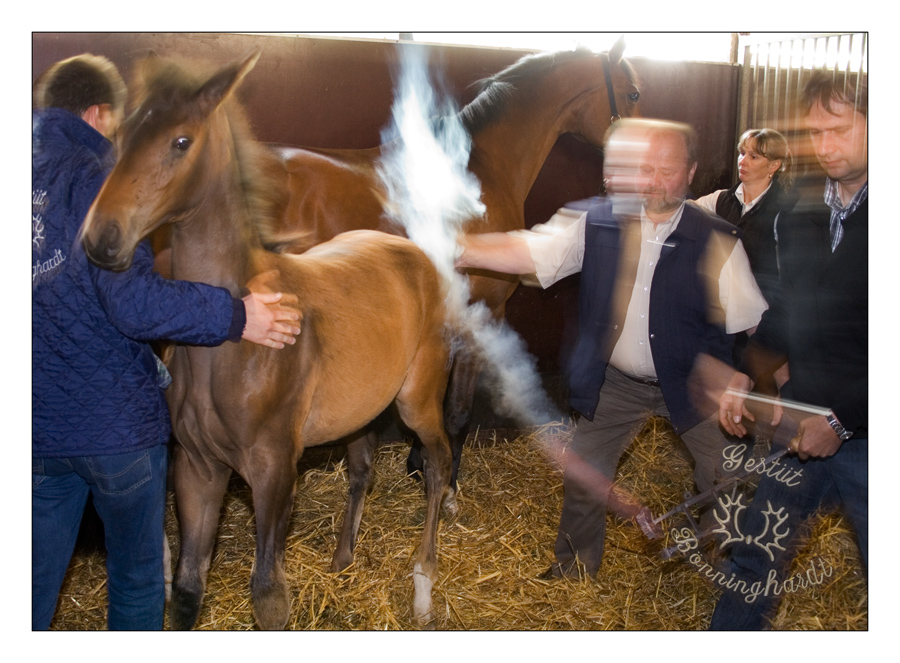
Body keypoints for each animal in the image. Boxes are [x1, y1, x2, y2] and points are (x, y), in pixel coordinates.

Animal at [81, 54, 454, 632]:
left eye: (181, 141)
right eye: (120, 135)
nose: (103, 239)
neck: (231, 346)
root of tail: (412, 251)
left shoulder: (275, 469)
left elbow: (269, 596)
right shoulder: (197, 469)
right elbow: (186, 590)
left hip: (418, 398)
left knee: (437, 464)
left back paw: (422, 589)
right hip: (361, 406)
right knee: (363, 468)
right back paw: (343, 559)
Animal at [260, 40, 640, 498]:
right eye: (634, 94)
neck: (480, 169)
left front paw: (418, 464)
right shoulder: (484, 312)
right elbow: (458, 410)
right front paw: (445, 482)